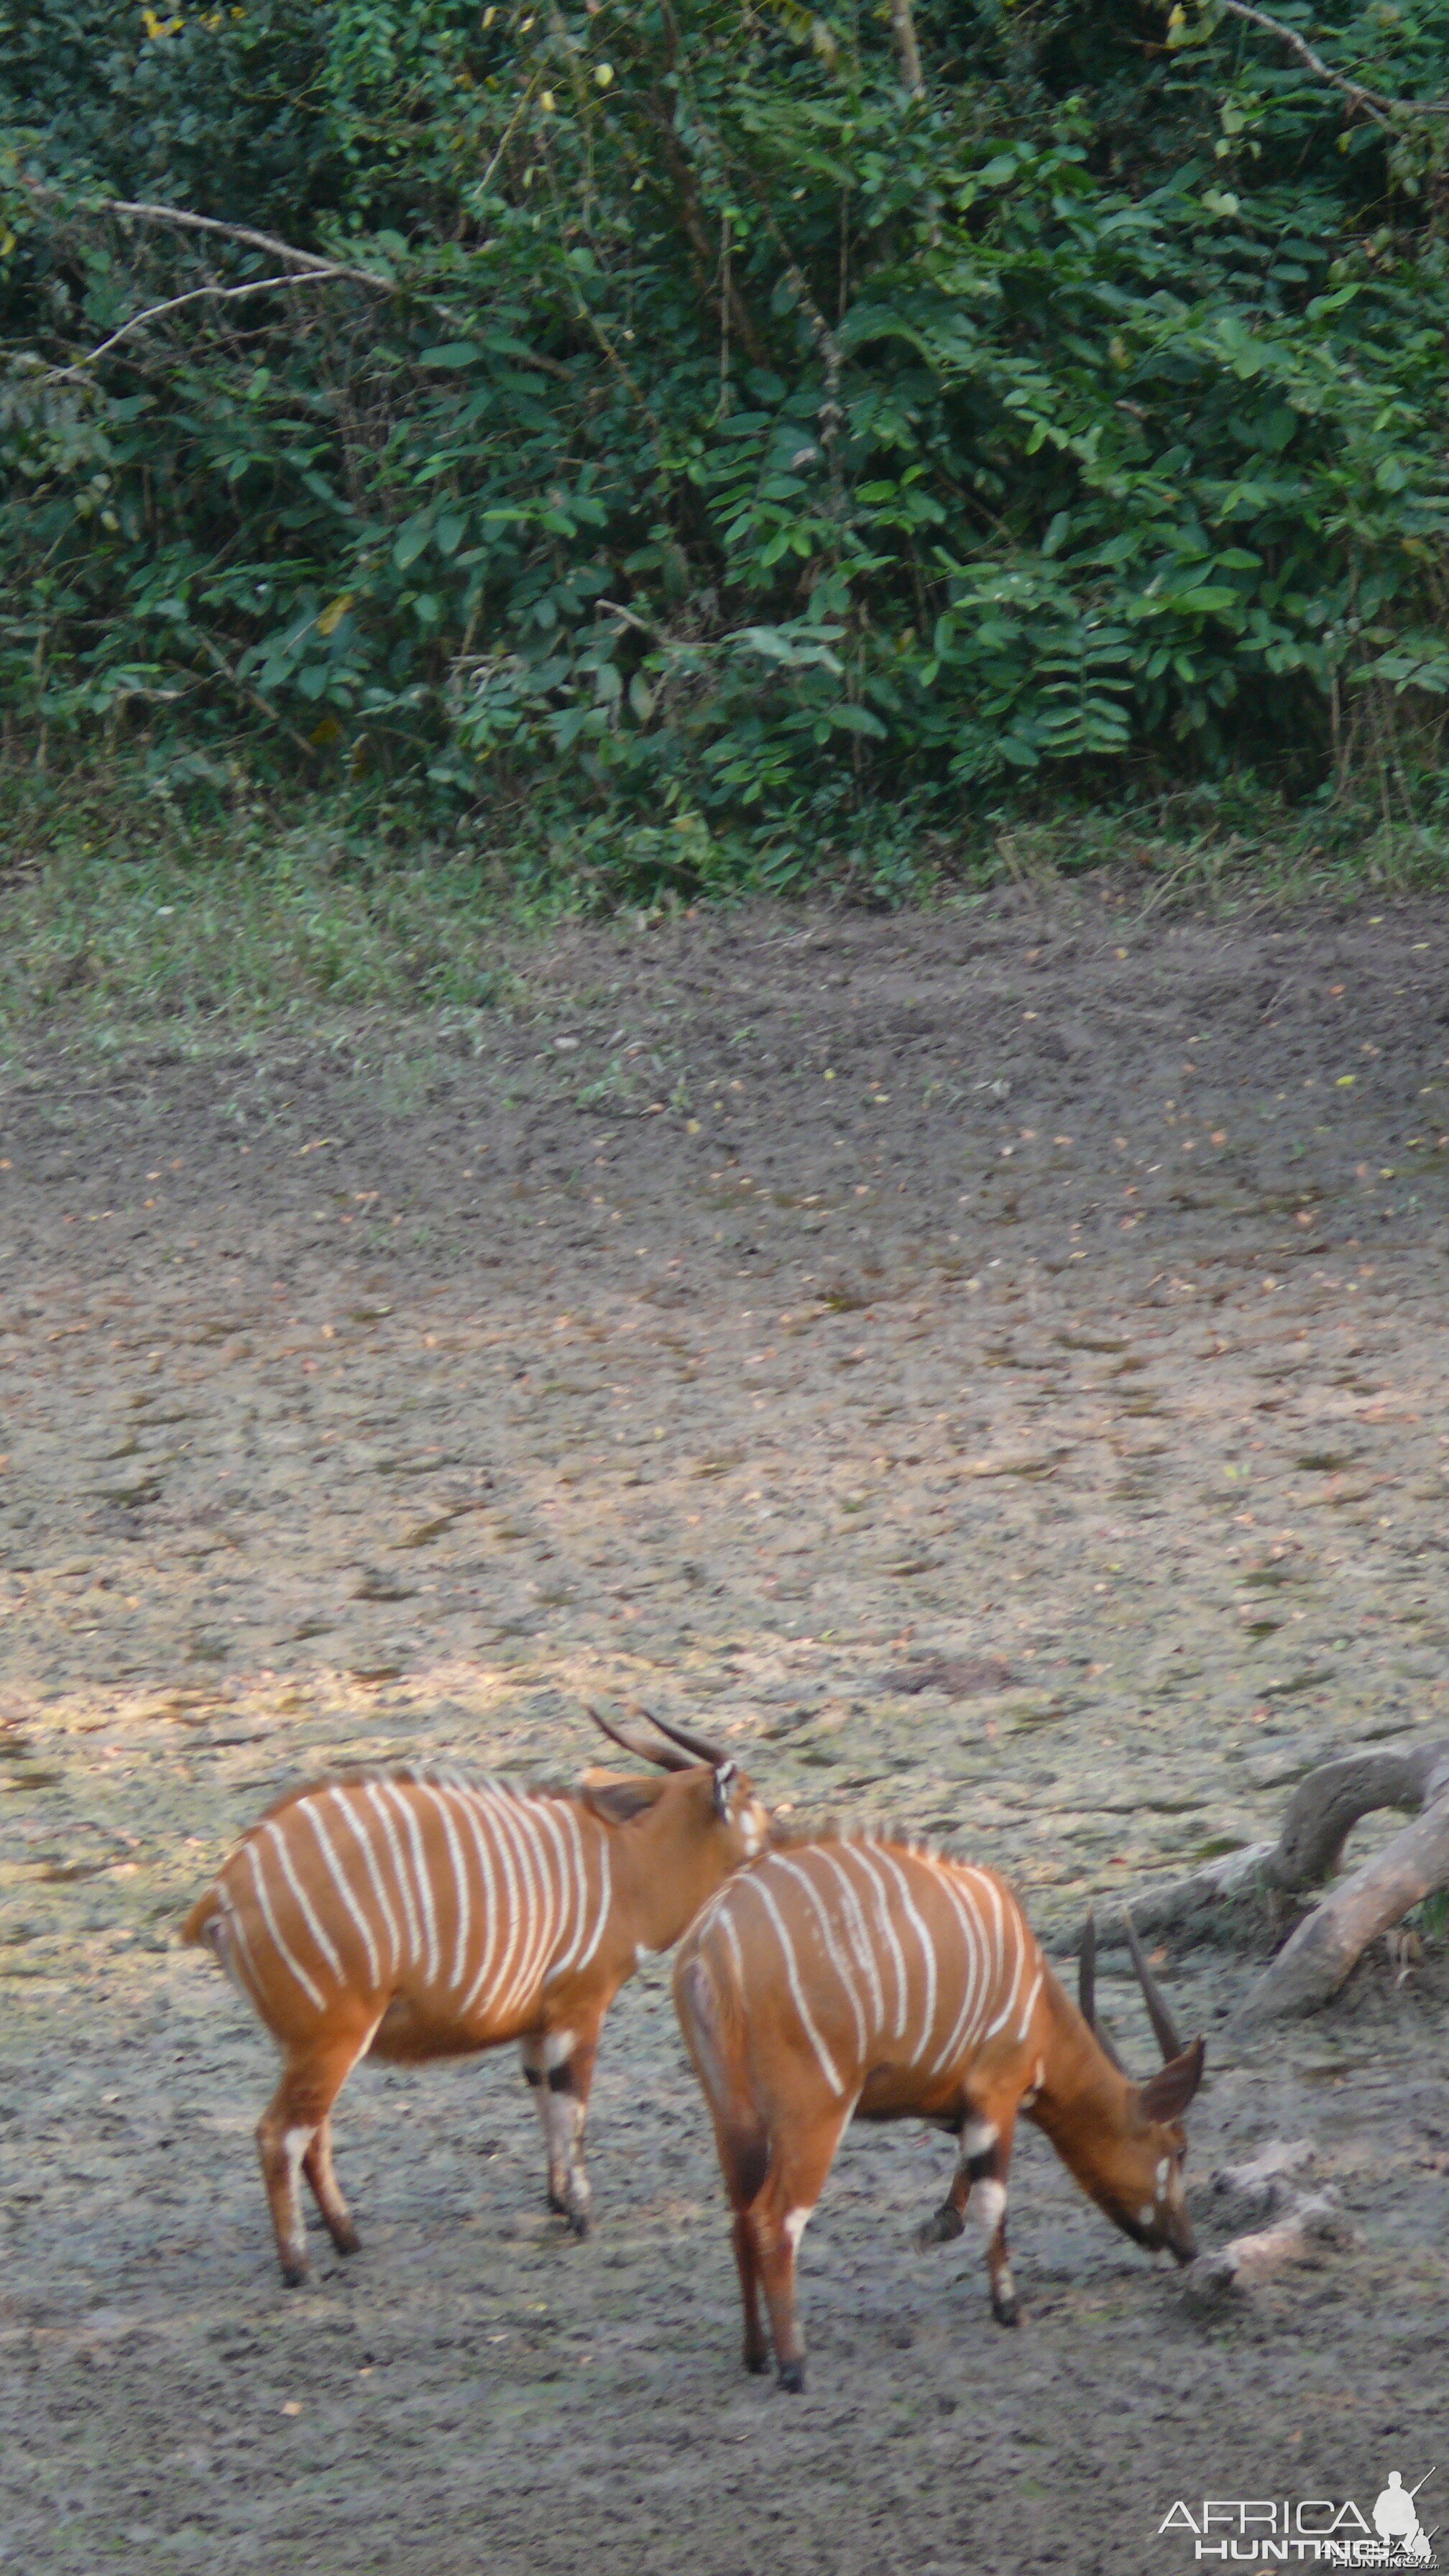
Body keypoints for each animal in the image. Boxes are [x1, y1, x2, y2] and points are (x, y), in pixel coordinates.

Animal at [183, 1710, 768, 2277]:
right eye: (749, 1792)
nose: (783, 1831)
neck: (621, 1862)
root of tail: (224, 1892)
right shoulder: (579, 2008)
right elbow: (572, 2103)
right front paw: (582, 2214)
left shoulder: (537, 2024)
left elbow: (543, 2094)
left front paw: (557, 2201)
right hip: (332, 2041)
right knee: (278, 2136)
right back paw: (298, 2267)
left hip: (310, 2048)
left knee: (312, 2135)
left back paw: (348, 2240)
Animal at [670, 1834, 1201, 2390]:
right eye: (1179, 2150)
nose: (1190, 2248)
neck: (1030, 1987)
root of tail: (709, 1945)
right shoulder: (998, 2091)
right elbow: (995, 2199)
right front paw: (1009, 2307)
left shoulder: (960, 2104)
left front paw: (939, 2227)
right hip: (813, 2116)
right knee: (774, 2220)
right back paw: (793, 2365)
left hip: (735, 2119)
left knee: (740, 2220)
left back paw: (756, 2355)